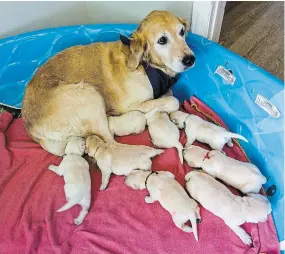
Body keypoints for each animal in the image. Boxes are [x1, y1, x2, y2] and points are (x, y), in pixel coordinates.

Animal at [21, 11, 193, 160]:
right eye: (162, 40)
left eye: (182, 32)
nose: (190, 59)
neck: (146, 64)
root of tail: (31, 129)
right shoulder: (129, 105)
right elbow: (173, 100)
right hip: (89, 94)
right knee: (112, 144)